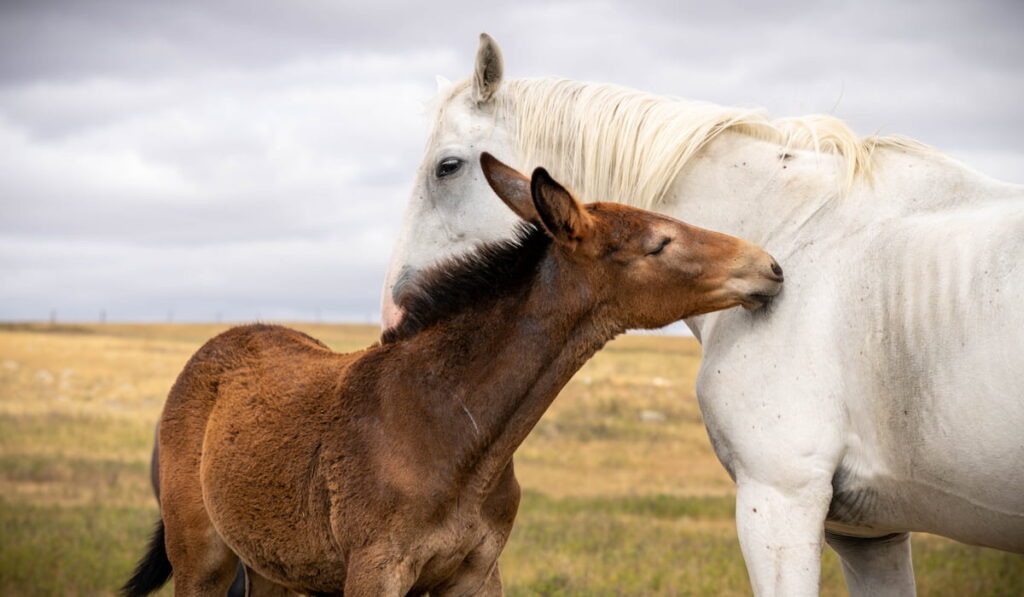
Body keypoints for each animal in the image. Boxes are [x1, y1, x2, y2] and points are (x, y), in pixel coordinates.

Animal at [128, 155, 782, 597]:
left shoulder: (477, 571)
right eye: (659, 244)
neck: (455, 434)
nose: (770, 266)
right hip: (202, 561)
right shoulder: (376, 571)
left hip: (272, 568)